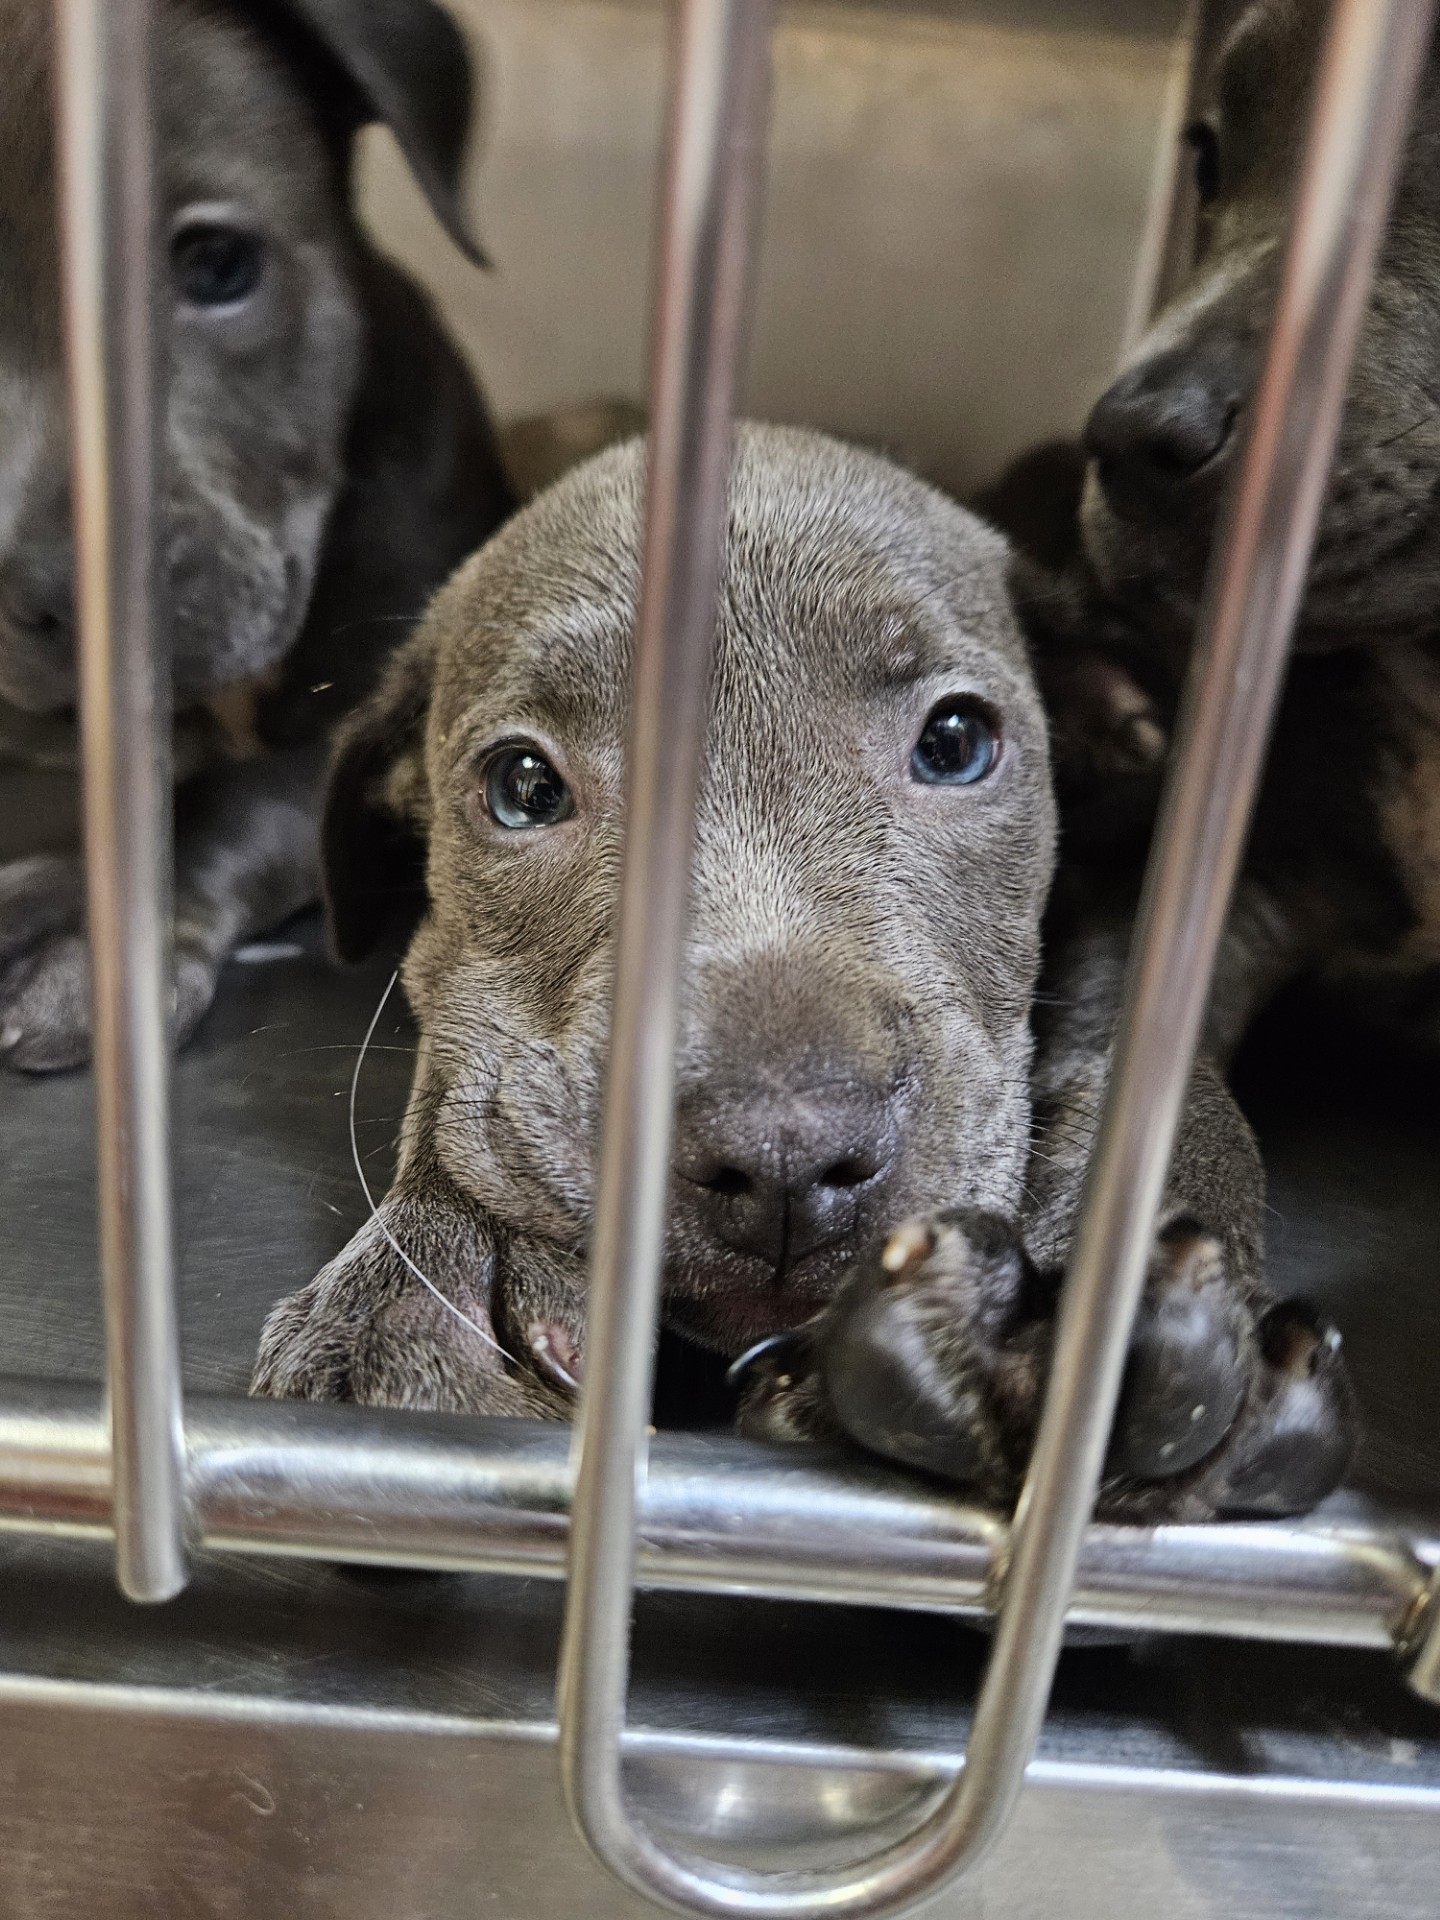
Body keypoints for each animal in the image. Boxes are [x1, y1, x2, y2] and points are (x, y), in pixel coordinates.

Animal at [251, 428, 1351, 1520]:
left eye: (956, 742)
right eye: (523, 787)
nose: (785, 1158)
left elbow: (1154, 1058)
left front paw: (1089, 1308)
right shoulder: (456, 970)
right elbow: (463, 1048)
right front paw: (434, 1278)